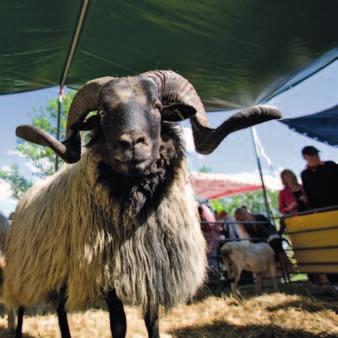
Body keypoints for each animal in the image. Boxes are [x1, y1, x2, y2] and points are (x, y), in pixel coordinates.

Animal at [4, 70, 280, 336]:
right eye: (102, 113)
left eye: (157, 106)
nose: (131, 143)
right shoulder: (108, 274)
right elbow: (118, 325)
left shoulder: (151, 270)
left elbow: (152, 321)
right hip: (24, 269)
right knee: (20, 308)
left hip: (57, 271)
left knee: (60, 310)